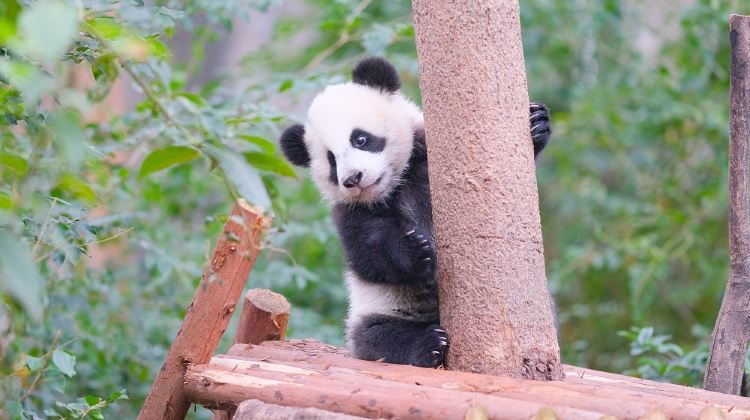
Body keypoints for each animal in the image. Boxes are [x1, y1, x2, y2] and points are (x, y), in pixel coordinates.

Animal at [279, 57, 551, 368]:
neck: (396, 183)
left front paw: (537, 124)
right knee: (379, 338)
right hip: (377, 313)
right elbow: (368, 256)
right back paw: (429, 344)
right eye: (331, 160)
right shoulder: (350, 213)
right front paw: (415, 249)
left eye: (360, 139)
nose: (353, 178)